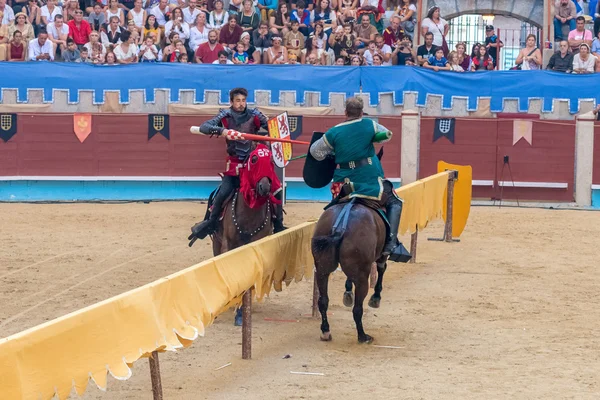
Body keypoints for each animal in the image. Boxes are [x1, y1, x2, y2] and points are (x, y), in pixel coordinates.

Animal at [310, 200, 390, 344]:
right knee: (357, 309)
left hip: (322, 270)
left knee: (323, 301)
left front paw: (348, 292)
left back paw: (325, 331)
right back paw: (363, 336)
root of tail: (339, 229)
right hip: (362, 278)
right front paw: (376, 297)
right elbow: (381, 268)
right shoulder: (382, 254)